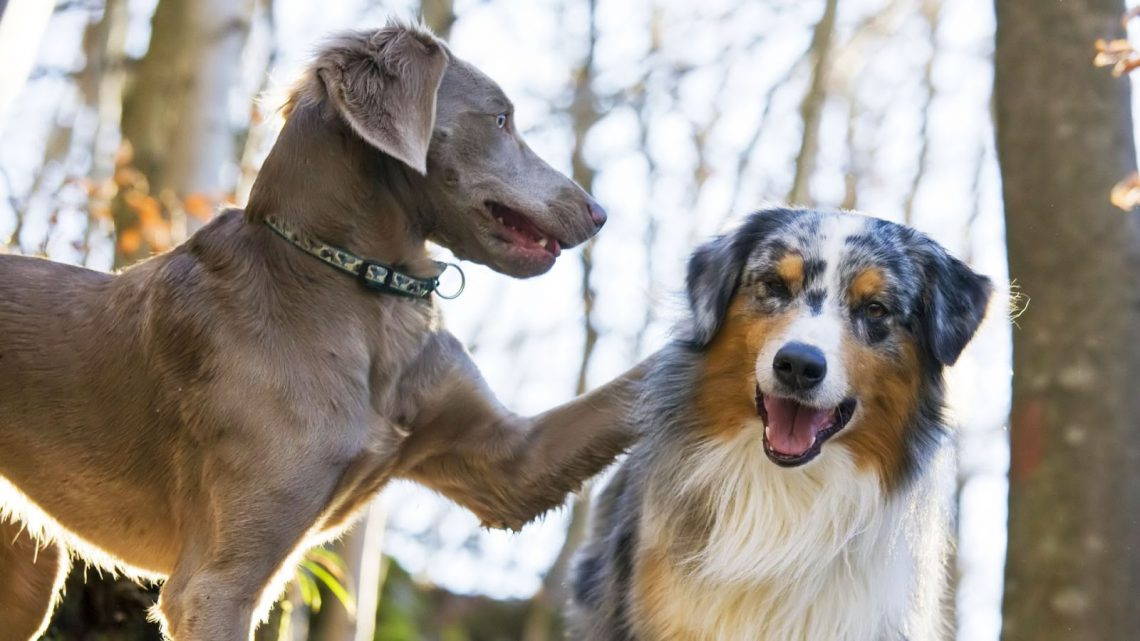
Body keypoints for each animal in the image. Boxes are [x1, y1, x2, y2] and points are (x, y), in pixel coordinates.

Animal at [0, 22, 642, 634]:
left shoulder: (509, 463)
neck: (357, 288)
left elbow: (629, 389)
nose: (600, 214)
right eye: (501, 119)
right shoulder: (215, 585)